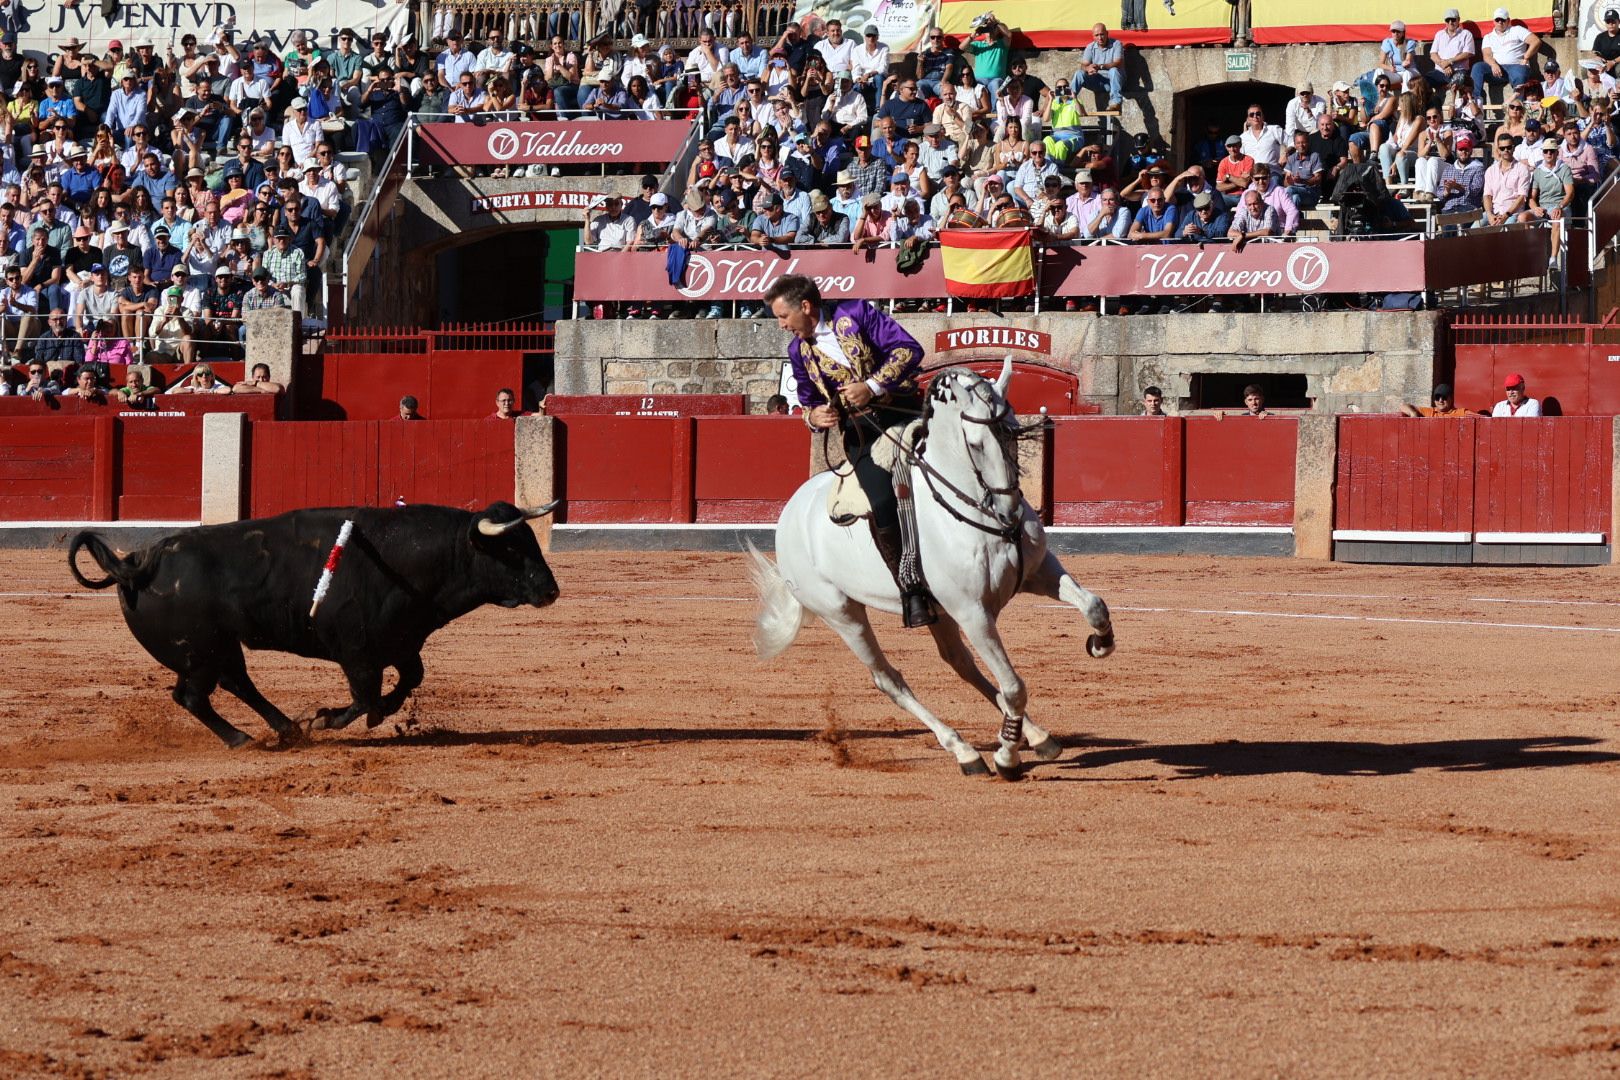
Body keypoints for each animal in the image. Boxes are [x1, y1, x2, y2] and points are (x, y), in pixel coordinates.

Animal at [68, 501, 563, 748]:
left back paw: (286, 728)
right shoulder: (357, 653)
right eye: (512, 548)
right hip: (201, 652)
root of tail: (136, 563)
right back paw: (245, 738)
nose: (550, 590)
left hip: (216, 649)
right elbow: (363, 698)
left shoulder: (401, 642)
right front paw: (328, 719)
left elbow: (409, 680)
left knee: (232, 685)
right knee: (196, 696)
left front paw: (378, 713)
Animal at [745, 359, 1114, 780]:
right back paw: (965, 751)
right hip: (842, 612)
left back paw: (1035, 737)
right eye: (975, 444)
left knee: (961, 664)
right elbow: (1014, 686)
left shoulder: (1039, 572)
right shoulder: (973, 612)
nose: (1010, 514)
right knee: (889, 679)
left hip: (936, 610)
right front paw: (1006, 757)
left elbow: (1094, 605)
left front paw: (1100, 644)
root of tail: (791, 510)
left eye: (1013, 432)